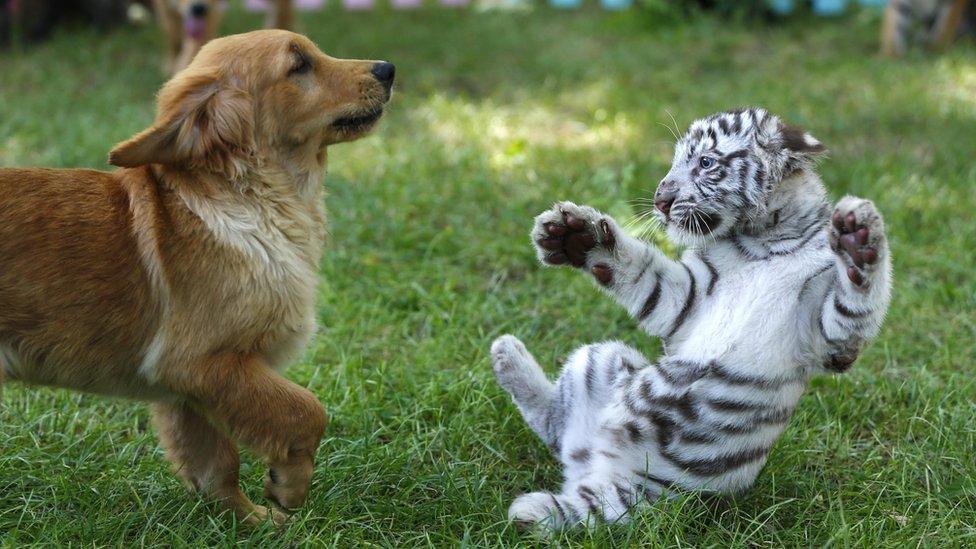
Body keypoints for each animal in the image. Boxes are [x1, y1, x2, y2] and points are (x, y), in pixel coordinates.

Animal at [1, 31, 396, 528]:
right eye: (299, 65)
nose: (388, 69)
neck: (252, 197)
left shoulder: (189, 390)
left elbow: (216, 466)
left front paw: (249, 522)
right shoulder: (199, 361)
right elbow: (307, 410)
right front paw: (289, 487)